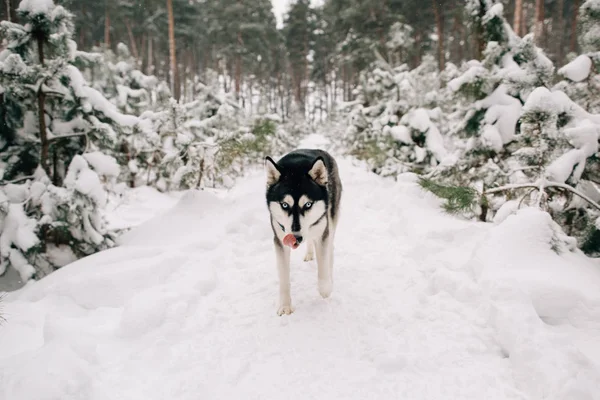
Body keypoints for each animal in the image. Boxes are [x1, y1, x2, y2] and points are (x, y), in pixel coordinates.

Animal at [264, 148, 342, 314]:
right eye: (284, 205)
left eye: (307, 204)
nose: (296, 238)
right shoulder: (280, 241)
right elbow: (284, 277)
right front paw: (285, 305)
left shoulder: (322, 234)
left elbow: (323, 266)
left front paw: (326, 289)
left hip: (331, 219)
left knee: (330, 248)